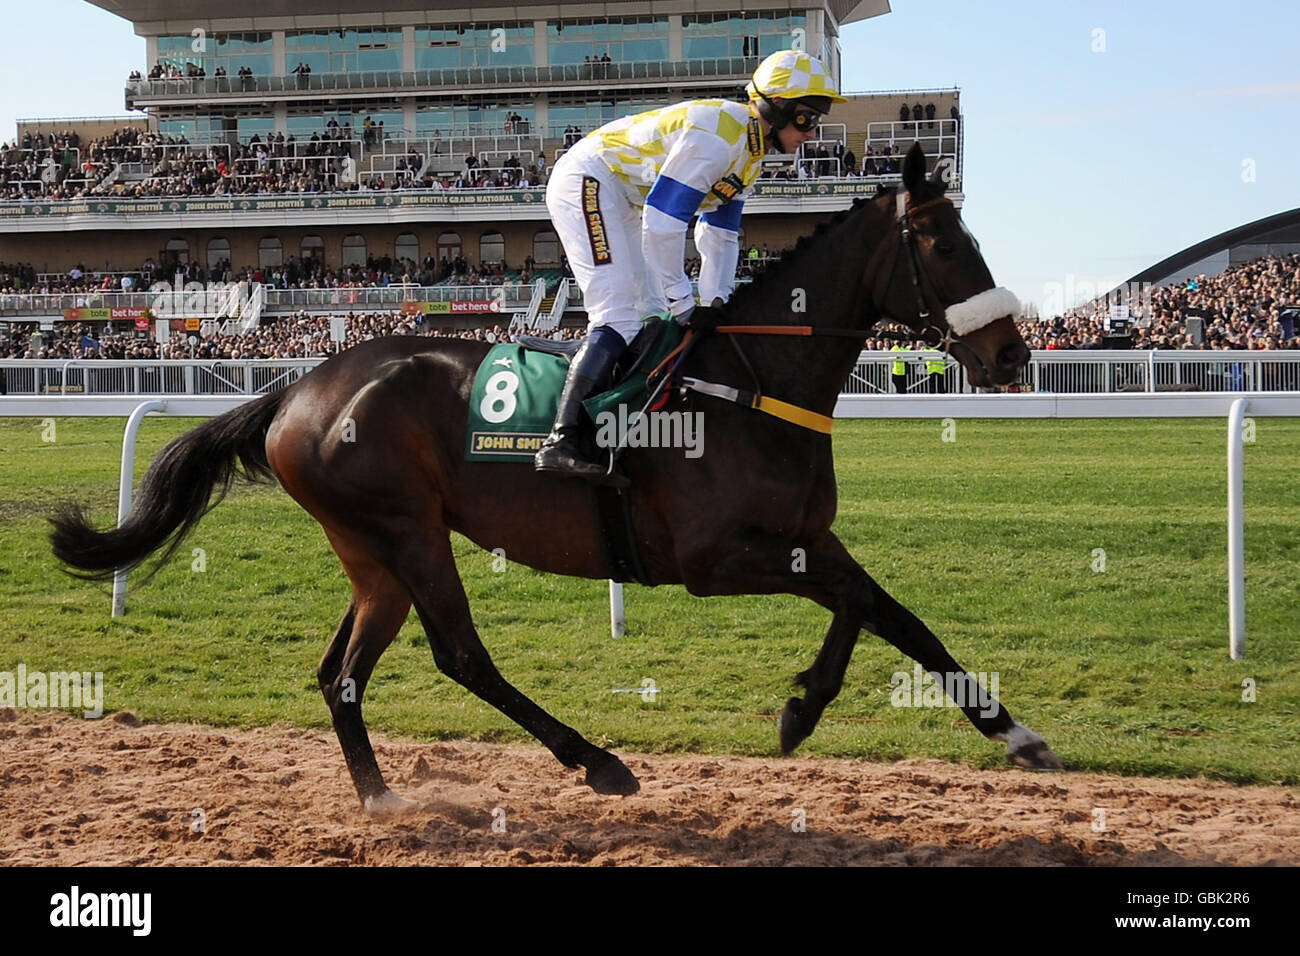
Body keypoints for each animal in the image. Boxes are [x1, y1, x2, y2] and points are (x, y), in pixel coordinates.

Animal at [55, 143, 1060, 816]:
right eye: (945, 245)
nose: (1012, 353)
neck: (748, 380)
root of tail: (298, 386)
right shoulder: (714, 559)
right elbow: (855, 606)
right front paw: (800, 710)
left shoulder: (807, 538)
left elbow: (900, 616)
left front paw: (1015, 733)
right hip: (407, 531)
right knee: (461, 656)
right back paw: (597, 760)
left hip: (373, 551)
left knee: (340, 672)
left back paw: (383, 799)